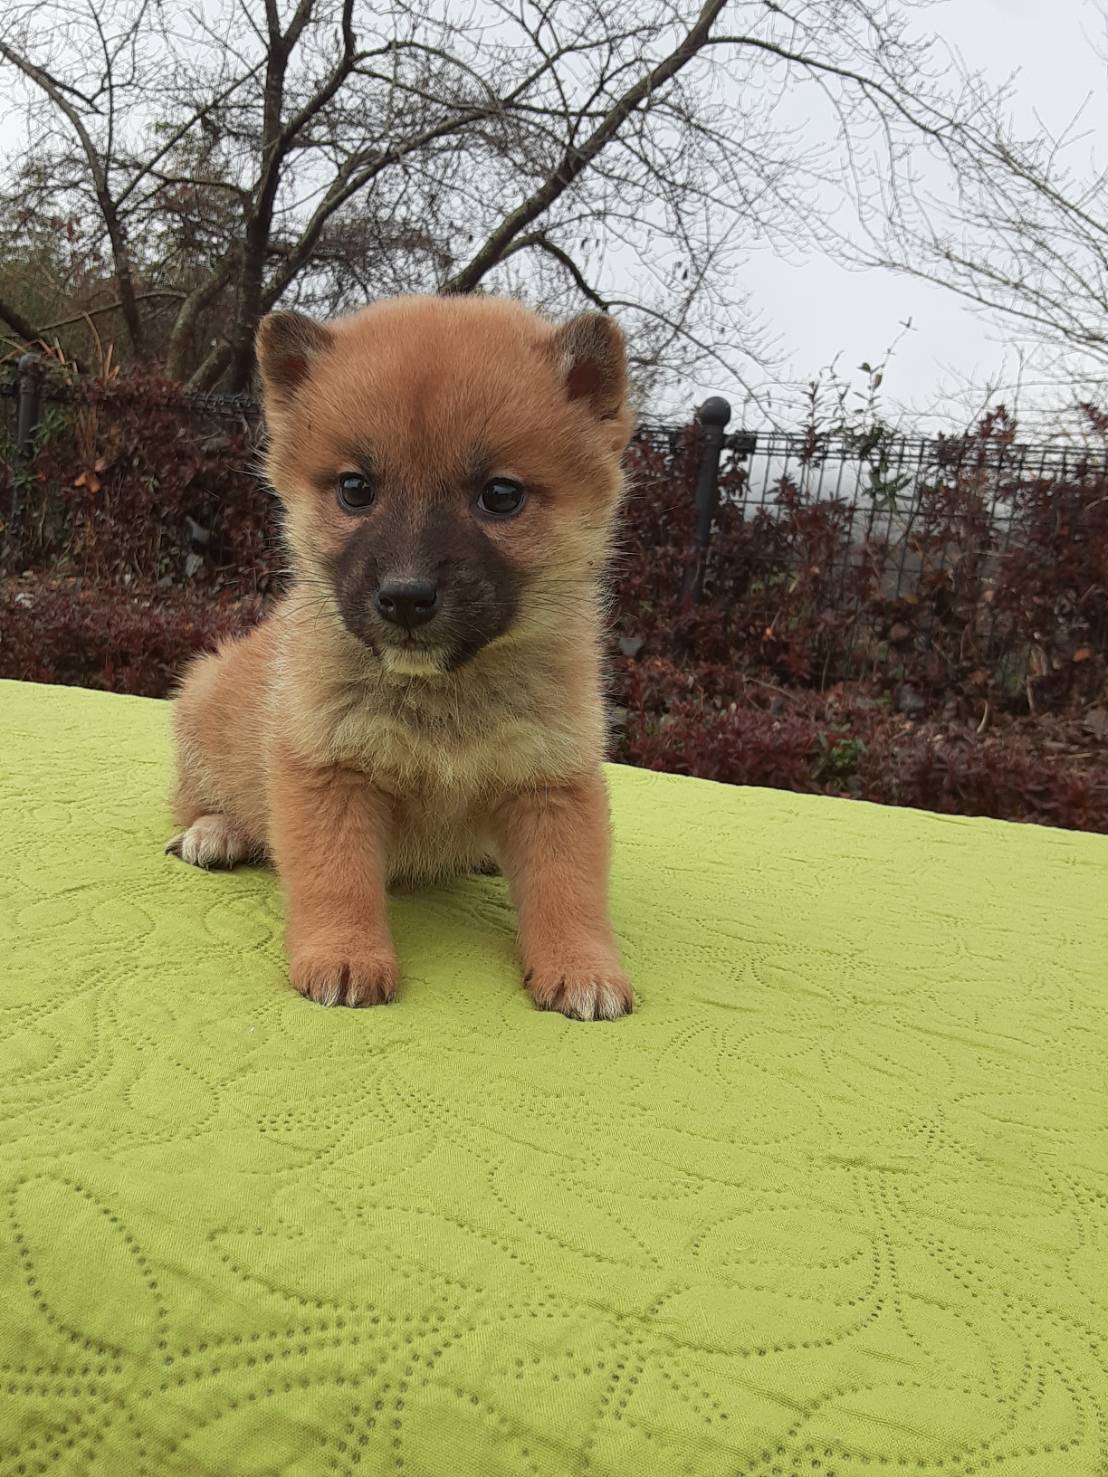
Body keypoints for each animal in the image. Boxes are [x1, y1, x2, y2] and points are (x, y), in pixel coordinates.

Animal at [166, 294, 634, 1020]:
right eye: (356, 488)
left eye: (501, 495)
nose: (406, 597)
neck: (444, 693)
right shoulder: (329, 769)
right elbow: (337, 877)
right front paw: (346, 955)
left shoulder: (552, 779)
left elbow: (569, 886)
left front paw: (582, 967)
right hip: (203, 709)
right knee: (195, 799)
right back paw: (216, 832)